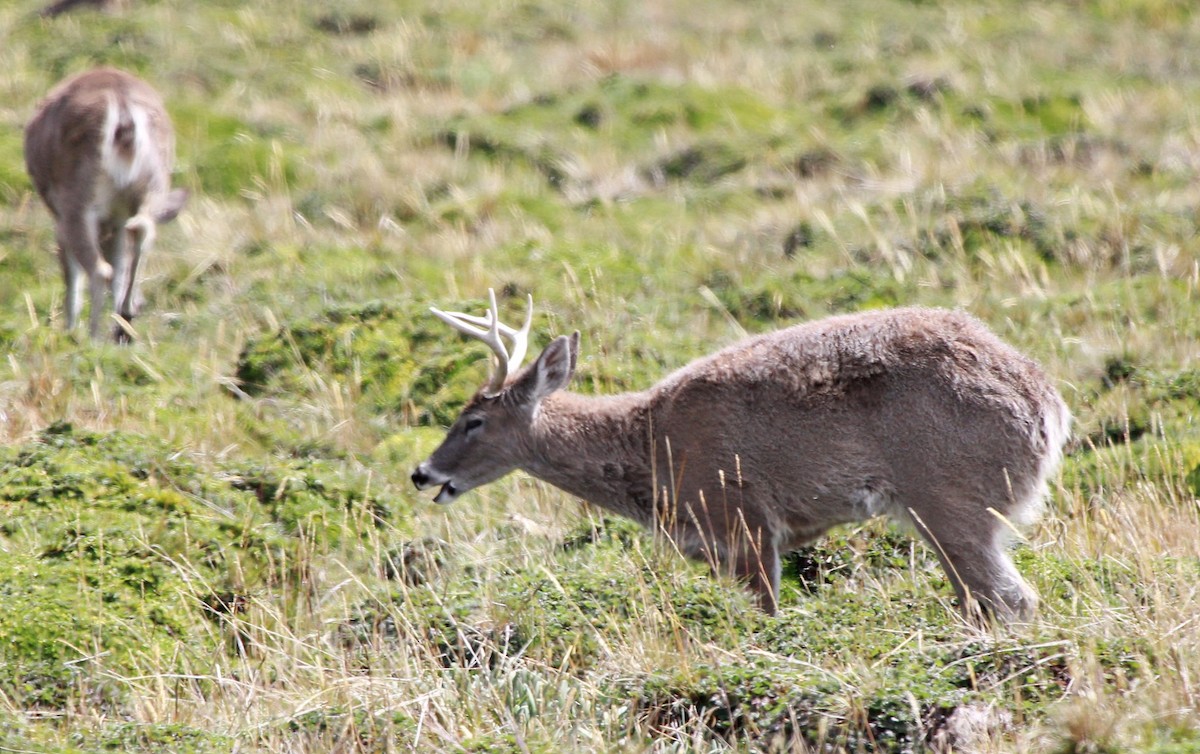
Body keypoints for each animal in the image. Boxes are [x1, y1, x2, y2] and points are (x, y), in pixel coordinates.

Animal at [24, 67, 188, 342]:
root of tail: (124, 115)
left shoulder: (61, 221)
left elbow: (73, 279)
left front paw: (70, 330)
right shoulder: (117, 219)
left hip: (78, 204)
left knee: (100, 269)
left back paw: (92, 338)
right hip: (152, 185)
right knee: (141, 231)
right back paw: (124, 320)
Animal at [411, 290, 1071, 622]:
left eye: (473, 421)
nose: (421, 473)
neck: (650, 447)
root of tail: (1047, 407)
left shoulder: (744, 523)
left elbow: (766, 622)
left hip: (950, 495)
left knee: (1009, 601)